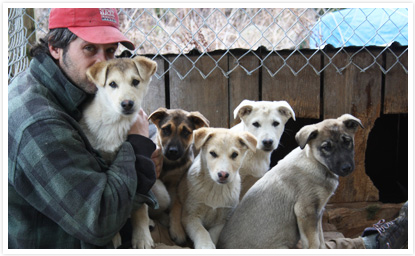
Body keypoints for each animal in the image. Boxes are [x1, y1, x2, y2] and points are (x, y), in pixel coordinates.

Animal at [80, 55, 158, 248]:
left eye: (135, 81)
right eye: (112, 84)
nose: (127, 104)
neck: (116, 122)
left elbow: (140, 205)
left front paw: (142, 237)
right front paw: (114, 237)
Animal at [218, 114, 364, 248]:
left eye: (347, 141)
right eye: (326, 147)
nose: (346, 168)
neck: (314, 162)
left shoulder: (318, 212)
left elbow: (321, 239)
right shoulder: (306, 211)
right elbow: (314, 242)